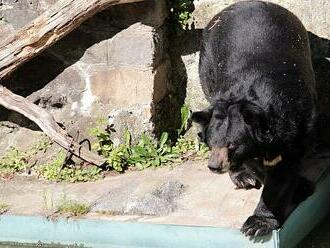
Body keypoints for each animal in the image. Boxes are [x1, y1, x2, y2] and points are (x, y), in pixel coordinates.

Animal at [193, 0, 318, 236]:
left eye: (232, 145)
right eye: (210, 144)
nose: (214, 166)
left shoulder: (296, 125)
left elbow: (283, 170)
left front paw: (256, 224)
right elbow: (258, 167)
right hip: (207, 65)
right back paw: (242, 177)